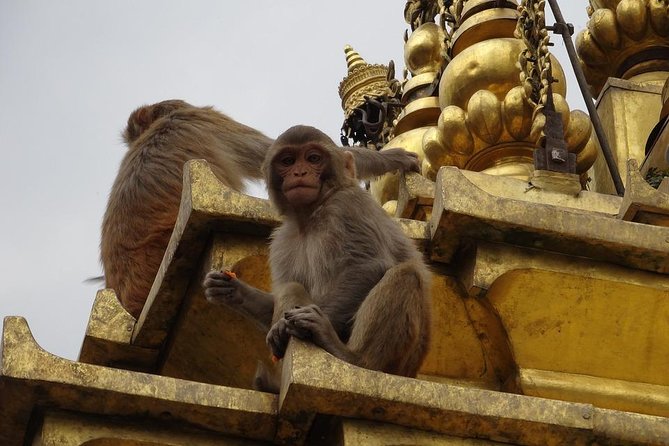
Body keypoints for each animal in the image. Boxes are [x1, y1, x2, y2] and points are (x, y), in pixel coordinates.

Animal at [202, 124, 428, 390]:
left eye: (313, 158)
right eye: (288, 161)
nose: (299, 172)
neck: (310, 217)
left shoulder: (347, 206)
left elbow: (367, 266)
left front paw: (296, 326)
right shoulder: (282, 242)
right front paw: (231, 290)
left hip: (401, 365)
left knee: (406, 274)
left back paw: (352, 357)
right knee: (291, 287)